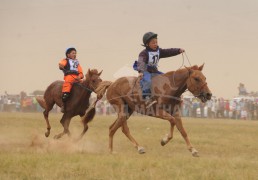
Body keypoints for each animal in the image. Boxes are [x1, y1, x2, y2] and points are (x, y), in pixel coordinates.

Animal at [83, 64, 211, 156]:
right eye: (196, 78)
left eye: (204, 77)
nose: (209, 94)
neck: (169, 87)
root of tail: (111, 84)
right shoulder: (158, 112)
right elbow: (172, 121)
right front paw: (164, 140)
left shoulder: (176, 112)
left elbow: (182, 130)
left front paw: (193, 149)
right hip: (121, 108)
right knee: (120, 129)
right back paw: (129, 148)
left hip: (128, 111)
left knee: (114, 128)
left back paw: (120, 149)